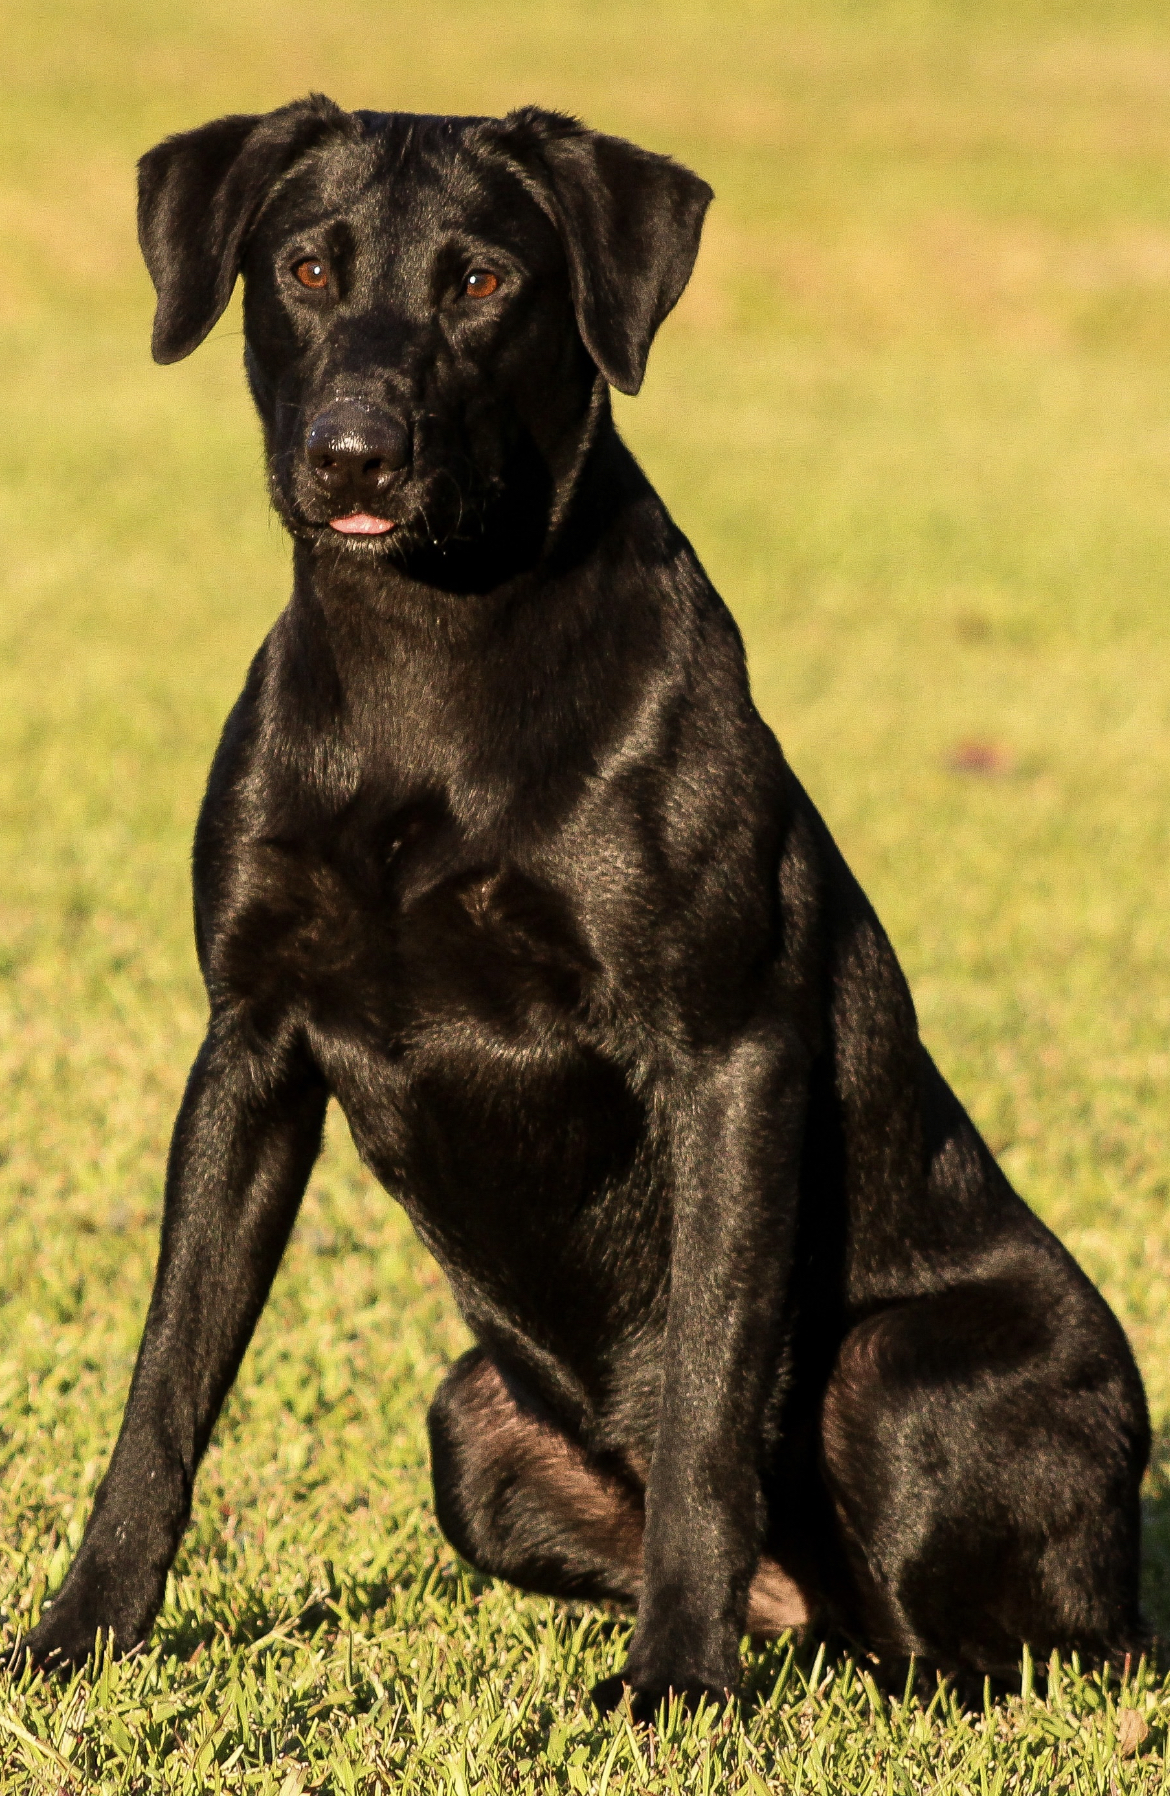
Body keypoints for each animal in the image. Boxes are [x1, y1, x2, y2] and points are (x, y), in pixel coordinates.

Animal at [25, 94, 1150, 1709]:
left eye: (483, 282)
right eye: (305, 267)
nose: (354, 456)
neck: (425, 661)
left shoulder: (726, 1057)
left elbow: (705, 1408)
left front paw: (673, 1679)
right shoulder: (248, 1047)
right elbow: (167, 1380)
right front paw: (83, 1634)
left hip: (901, 1378)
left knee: (1032, 1649)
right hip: (474, 1424)